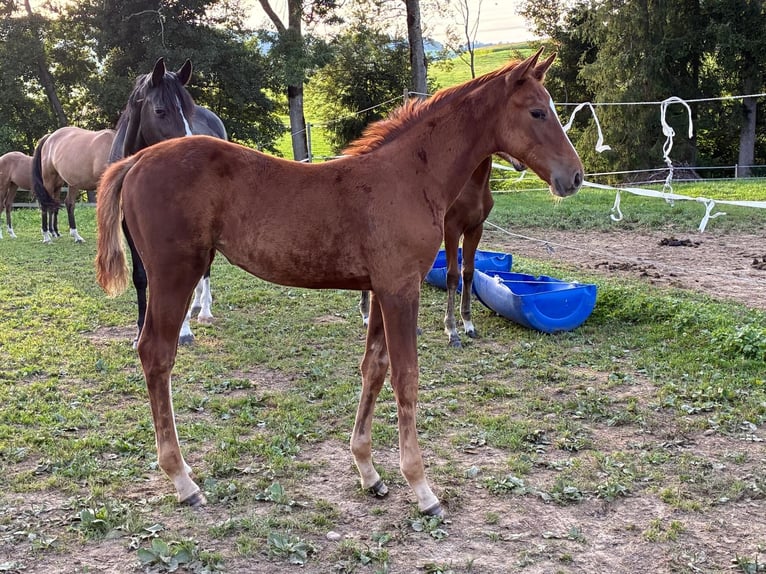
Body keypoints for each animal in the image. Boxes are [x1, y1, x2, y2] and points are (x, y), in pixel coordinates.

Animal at [109, 57, 228, 346]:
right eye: (160, 110)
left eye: (188, 111)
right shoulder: (129, 227)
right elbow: (141, 277)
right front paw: (140, 331)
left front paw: (182, 331)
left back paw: (204, 310)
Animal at [356, 154, 526, 347]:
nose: (522, 164)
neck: (474, 188)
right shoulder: (452, 230)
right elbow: (452, 276)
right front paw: (452, 331)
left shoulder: (475, 230)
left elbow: (468, 272)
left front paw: (468, 325)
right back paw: (367, 317)